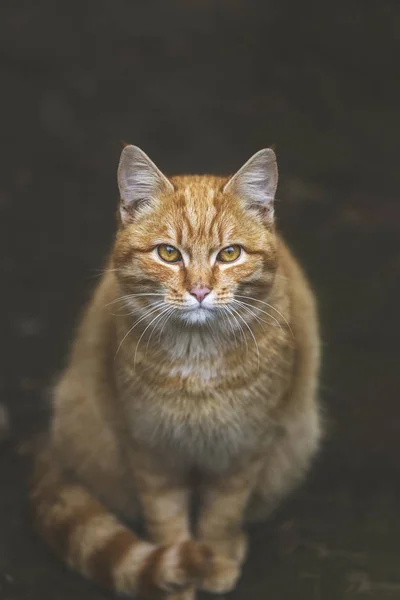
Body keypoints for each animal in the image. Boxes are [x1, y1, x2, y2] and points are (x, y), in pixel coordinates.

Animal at [30, 145, 322, 600]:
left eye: (230, 254)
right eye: (168, 254)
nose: (200, 290)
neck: (196, 360)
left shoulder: (245, 446)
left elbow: (222, 512)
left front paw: (215, 559)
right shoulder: (149, 447)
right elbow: (166, 518)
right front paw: (177, 579)